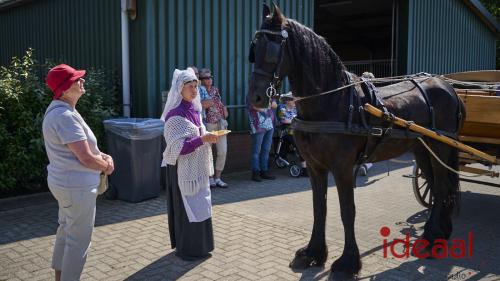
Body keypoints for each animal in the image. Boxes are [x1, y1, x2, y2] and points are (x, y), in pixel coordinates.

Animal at [247, 3, 464, 276]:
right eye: (254, 47)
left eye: (272, 47)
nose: (255, 98)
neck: (332, 102)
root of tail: (448, 87)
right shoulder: (315, 167)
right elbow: (319, 208)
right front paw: (313, 253)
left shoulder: (342, 168)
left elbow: (347, 210)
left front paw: (347, 262)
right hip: (422, 149)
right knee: (436, 187)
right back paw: (437, 233)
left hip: (441, 147)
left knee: (443, 187)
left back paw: (433, 238)